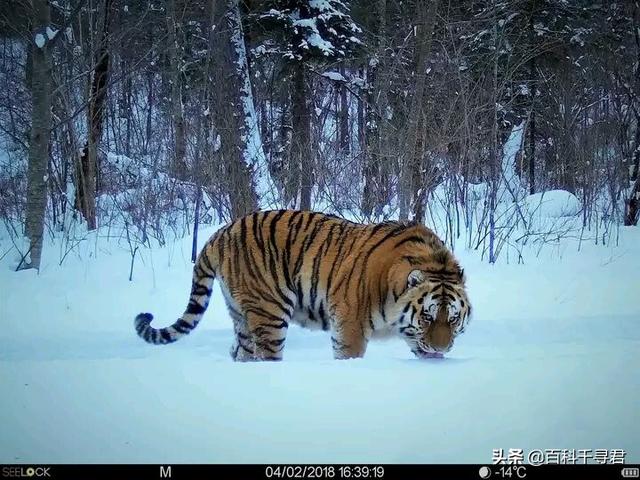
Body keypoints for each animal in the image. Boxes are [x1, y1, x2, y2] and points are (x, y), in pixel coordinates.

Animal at [132, 209, 470, 360]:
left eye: (452, 318)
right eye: (426, 316)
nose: (442, 348)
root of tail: (220, 233)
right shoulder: (350, 326)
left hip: (241, 316)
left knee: (241, 353)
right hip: (269, 314)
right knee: (265, 356)